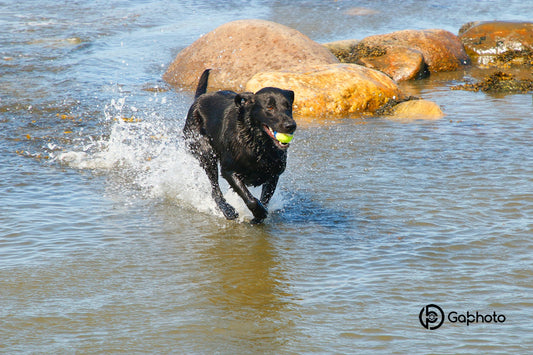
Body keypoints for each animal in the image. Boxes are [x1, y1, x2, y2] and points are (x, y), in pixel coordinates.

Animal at [184, 69, 298, 224]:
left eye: (288, 107)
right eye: (270, 107)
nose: (291, 125)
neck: (257, 142)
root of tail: (199, 99)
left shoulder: (274, 174)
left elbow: (265, 199)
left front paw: (259, 217)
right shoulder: (229, 171)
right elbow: (251, 199)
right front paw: (259, 213)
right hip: (205, 152)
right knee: (215, 190)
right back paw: (227, 211)